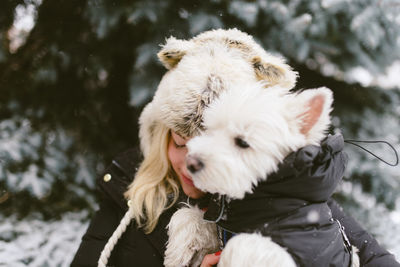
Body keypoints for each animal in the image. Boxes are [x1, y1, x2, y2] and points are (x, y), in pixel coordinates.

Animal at [164, 84, 358, 267]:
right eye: (210, 130)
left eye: (243, 142)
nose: (191, 162)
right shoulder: (225, 228)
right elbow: (189, 215)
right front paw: (176, 253)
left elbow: (240, 244)